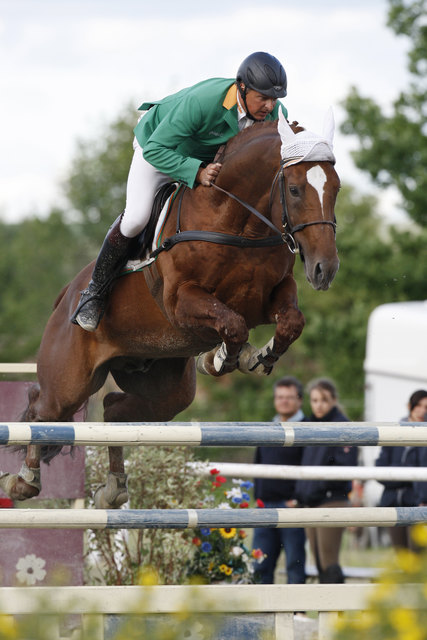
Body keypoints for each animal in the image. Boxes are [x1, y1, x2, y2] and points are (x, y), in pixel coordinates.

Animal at [0, 111, 342, 510]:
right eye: (295, 189)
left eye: (335, 188)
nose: (324, 270)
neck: (241, 222)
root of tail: (65, 296)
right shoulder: (182, 302)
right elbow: (233, 325)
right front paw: (222, 358)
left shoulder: (272, 294)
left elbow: (289, 322)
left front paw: (253, 358)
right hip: (70, 380)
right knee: (42, 408)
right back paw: (23, 481)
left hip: (164, 387)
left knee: (114, 408)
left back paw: (114, 488)